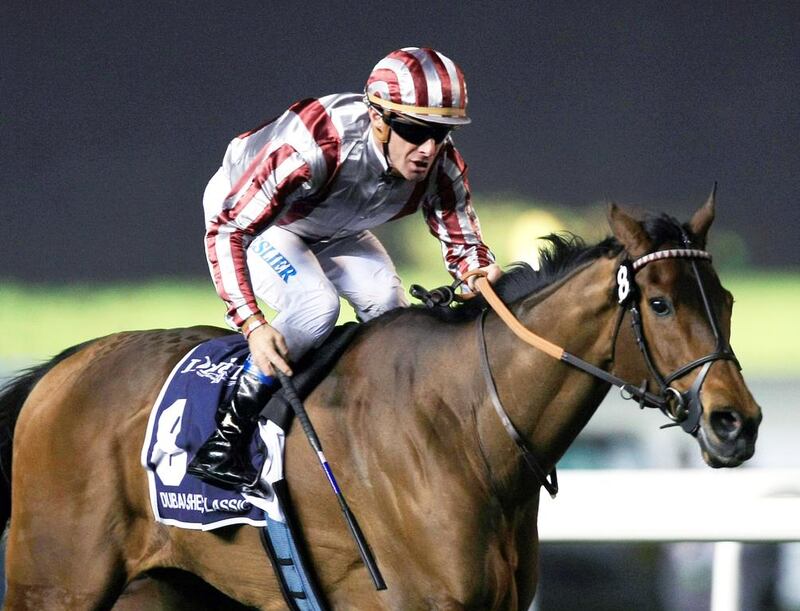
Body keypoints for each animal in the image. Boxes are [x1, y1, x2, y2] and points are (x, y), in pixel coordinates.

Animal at [1, 198, 764, 608]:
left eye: (726, 300)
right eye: (660, 303)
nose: (737, 423)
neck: (469, 429)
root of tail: (59, 369)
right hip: (56, 582)